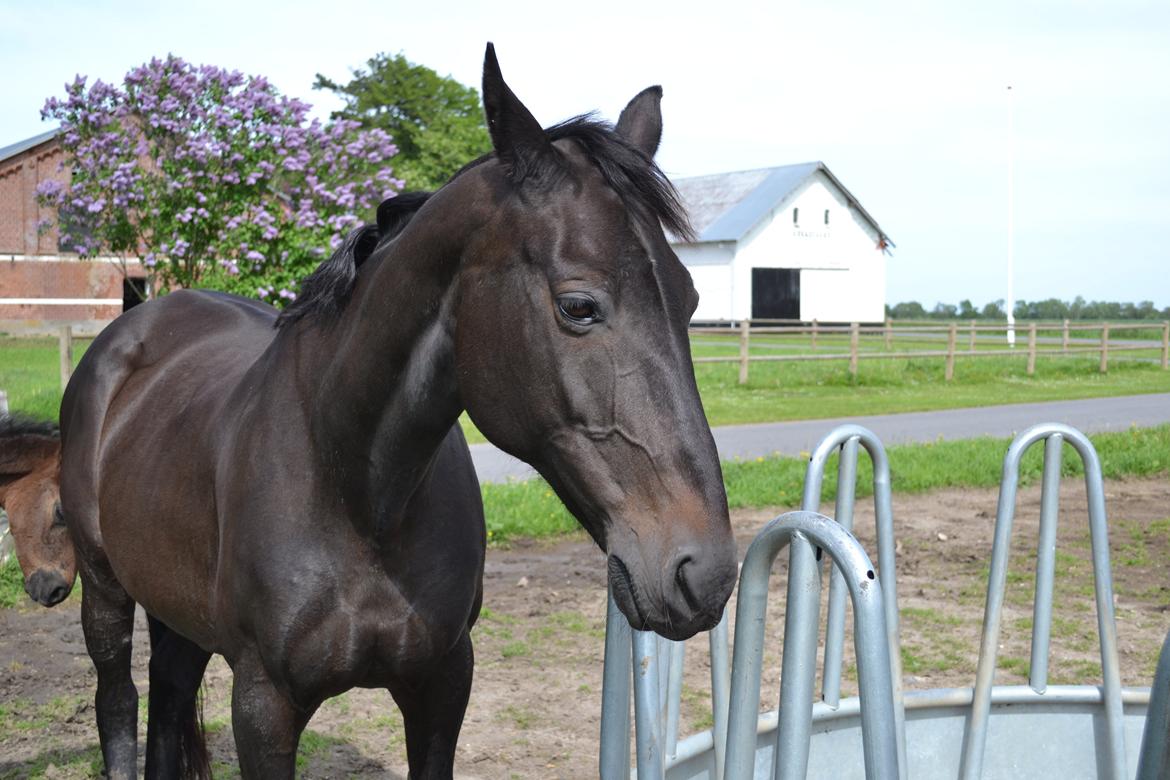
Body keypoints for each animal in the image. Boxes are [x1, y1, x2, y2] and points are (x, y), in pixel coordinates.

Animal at [59, 44, 734, 780]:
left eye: (691, 299)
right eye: (578, 306)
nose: (704, 573)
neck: (354, 489)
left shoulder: (443, 684)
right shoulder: (262, 703)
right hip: (104, 593)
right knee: (118, 704)